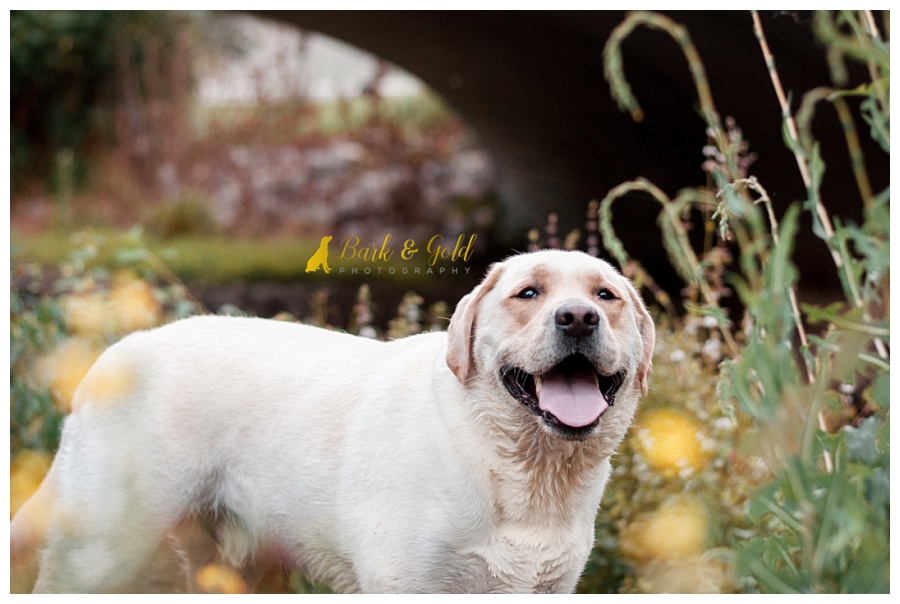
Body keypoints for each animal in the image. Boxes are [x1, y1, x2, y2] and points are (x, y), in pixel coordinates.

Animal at [8, 250, 652, 596]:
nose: (578, 317)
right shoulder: (405, 583)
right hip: (101, 554)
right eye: (528, 293)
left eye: (606, 295)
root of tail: (108, 358)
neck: (515, 465)